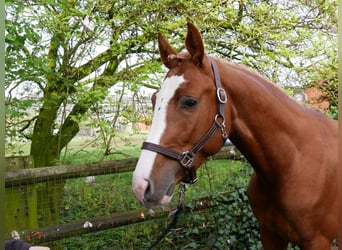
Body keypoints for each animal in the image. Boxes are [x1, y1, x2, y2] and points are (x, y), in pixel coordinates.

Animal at [132, 22, 338, 249]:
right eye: (153, 99)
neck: (295, 162)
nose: (141, 185)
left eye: (190, 102)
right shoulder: (270, 234)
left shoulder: (317, 241)